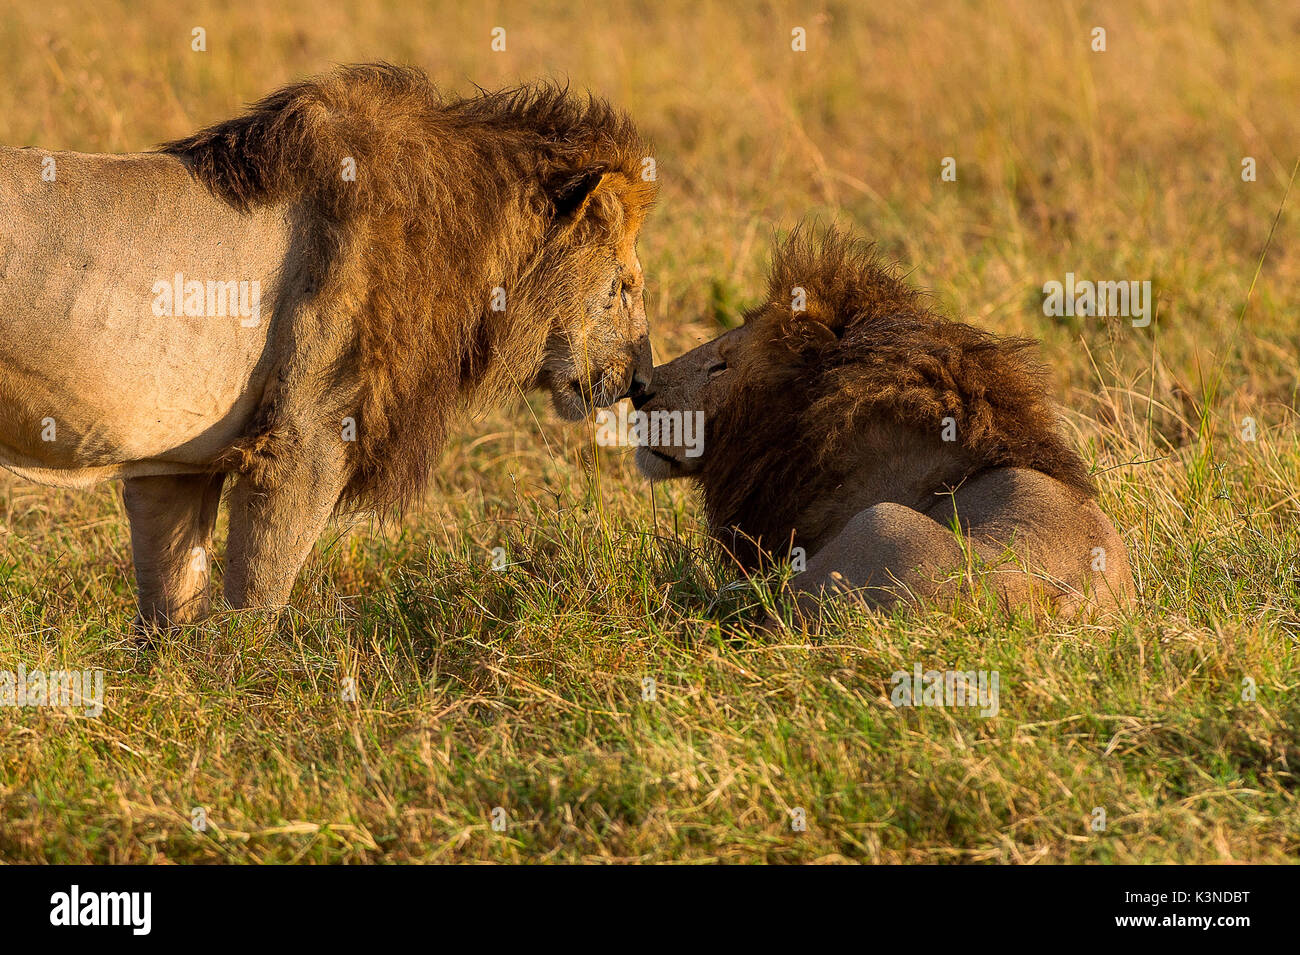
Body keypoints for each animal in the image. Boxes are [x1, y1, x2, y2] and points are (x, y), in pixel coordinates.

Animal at [2, 61, 660, 628]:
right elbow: (258, 597)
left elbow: (171, 602)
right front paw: (246, 682)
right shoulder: (306, 438)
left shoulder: (175, 462)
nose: (644, 382)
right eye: (622, 288)